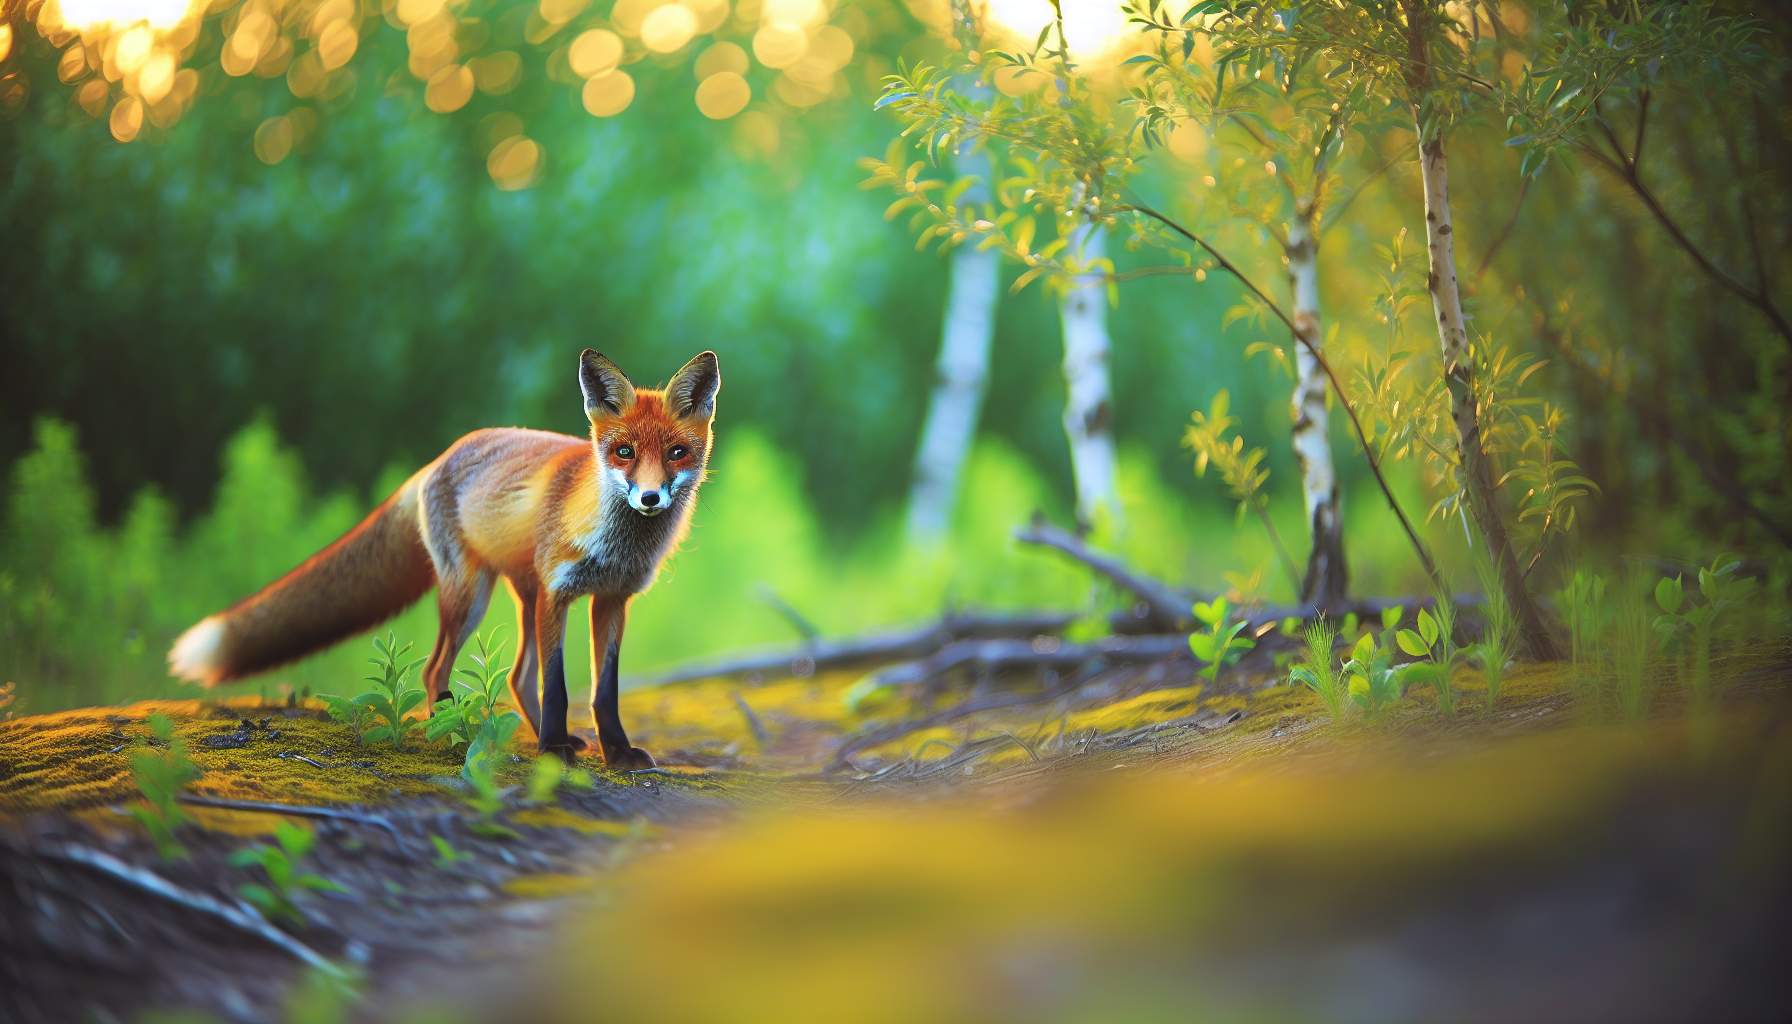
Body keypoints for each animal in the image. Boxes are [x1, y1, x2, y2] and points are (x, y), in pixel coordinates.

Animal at [167, 349, 720, 767]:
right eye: (624, 452)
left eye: (676, 453)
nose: (649, 498)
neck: (614, 544)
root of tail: (437, 459)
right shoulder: (559, 593)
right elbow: (559, 686)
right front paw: (552, 752)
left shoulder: (611, 601)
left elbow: (604, 692)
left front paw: (616, 753)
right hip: (471, 597)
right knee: (436, 672)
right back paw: (455, 732)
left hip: (522, 597)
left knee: (517, 677)